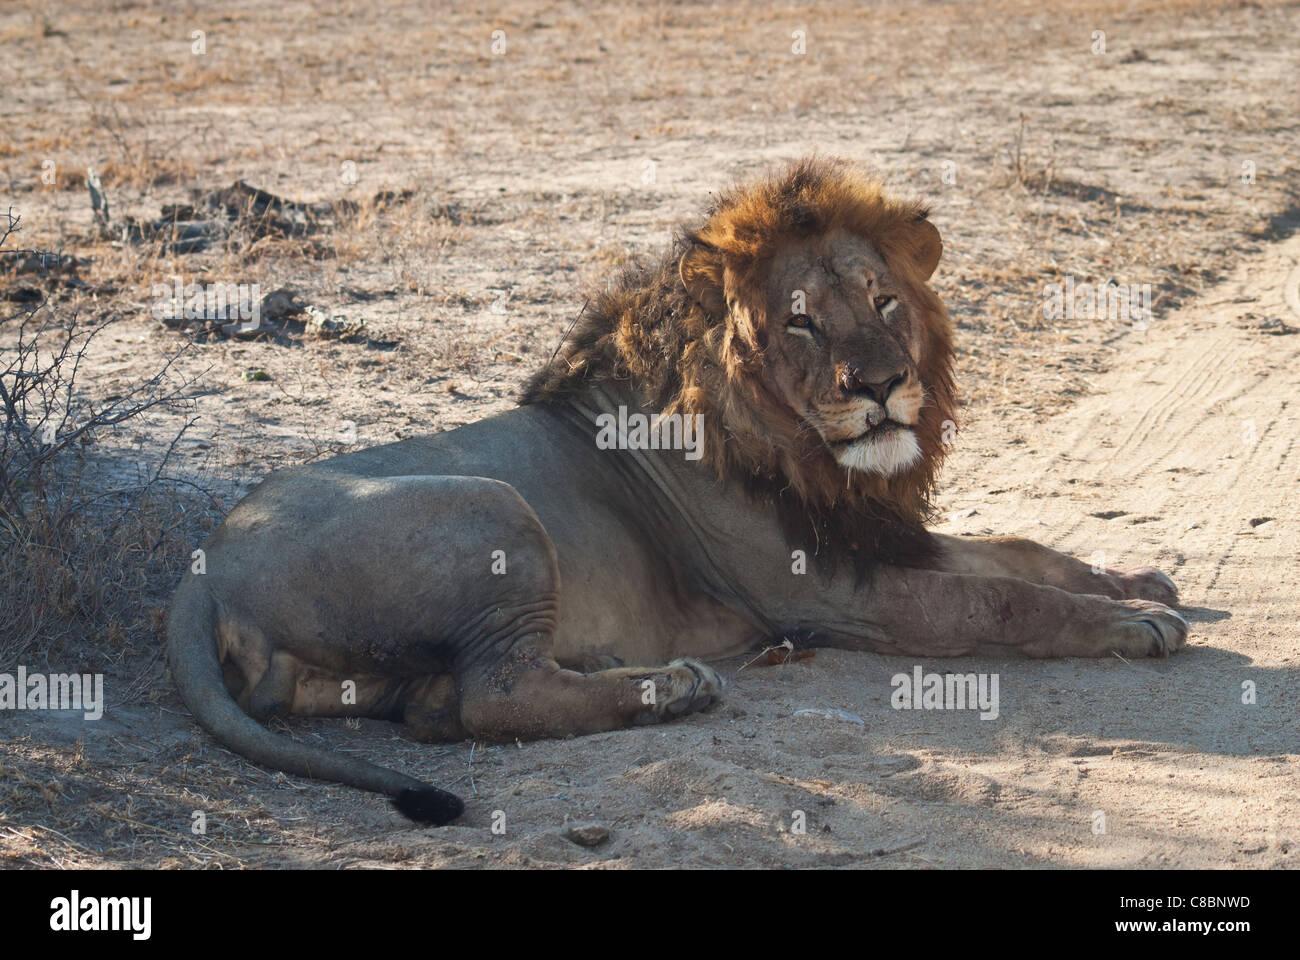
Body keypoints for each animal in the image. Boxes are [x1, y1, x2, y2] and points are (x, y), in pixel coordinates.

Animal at [167, 157, 1186, 825]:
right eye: (801, 322)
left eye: (884, 299)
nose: (882, 385)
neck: (805, 454)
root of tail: (200, 571)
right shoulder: (827, 593)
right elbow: (1000, 598)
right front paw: (1133, 625)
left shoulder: (871, 534)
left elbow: (1019, 552)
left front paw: (1136, 583)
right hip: (495, 507)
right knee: (495, 695)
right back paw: (673, 688)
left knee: (438, 709)